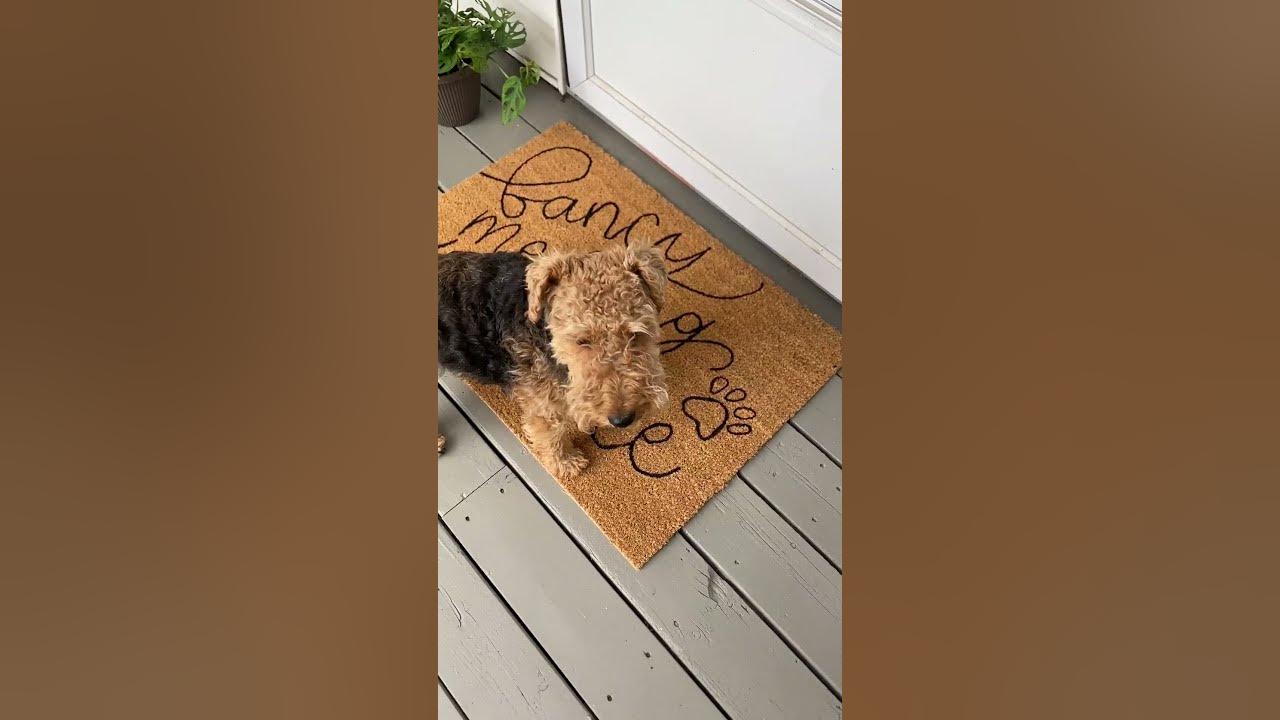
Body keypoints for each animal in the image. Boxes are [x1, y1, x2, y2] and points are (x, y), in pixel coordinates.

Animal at [437, 243, 665, 474]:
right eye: (582, 340)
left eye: (635, 334)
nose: (622, 419)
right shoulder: (544, 404)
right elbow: (551, 434)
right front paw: (566, 463)